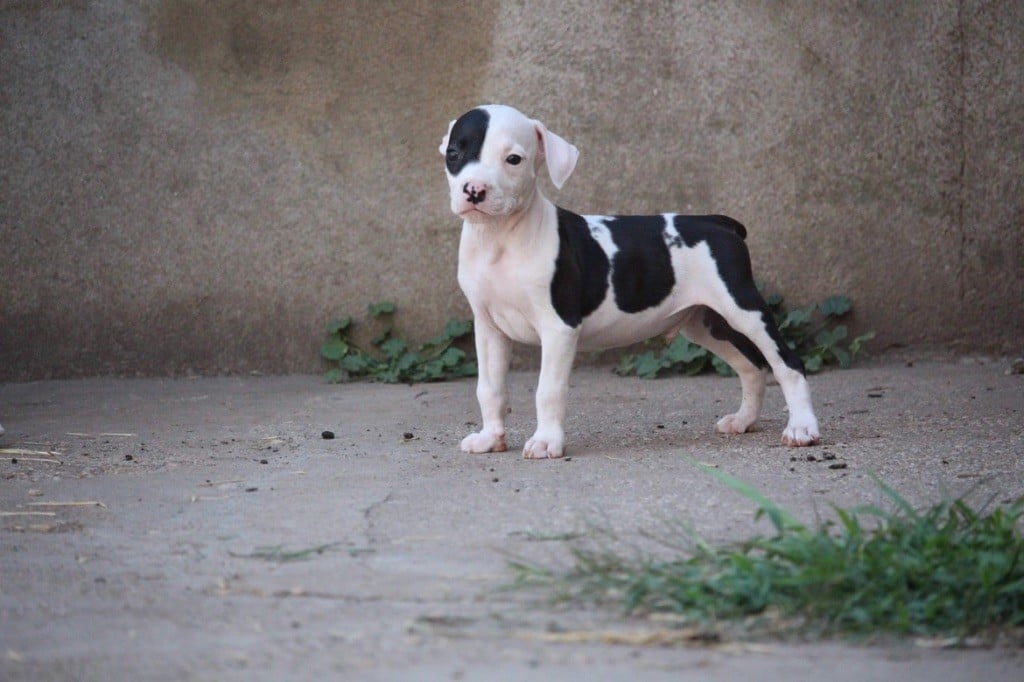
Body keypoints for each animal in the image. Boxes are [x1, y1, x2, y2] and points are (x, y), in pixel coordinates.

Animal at [440, 104, 820, 459]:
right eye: (454, 154)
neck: (499, 238)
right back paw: (743, 421)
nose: (474, 190)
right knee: (751, 367)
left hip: (743, 307)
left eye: (513, 159)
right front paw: (490, 438)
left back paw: (802, 428)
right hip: (706, 323)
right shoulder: (488, 327)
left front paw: (546, 441)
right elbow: (489, 389)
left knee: (787, 363)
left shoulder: (559, 327)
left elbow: (548, 390)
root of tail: (718, 222)